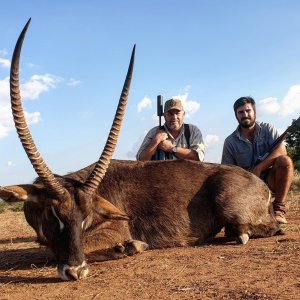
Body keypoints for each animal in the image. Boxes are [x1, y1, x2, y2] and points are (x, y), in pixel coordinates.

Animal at [0, 18, 282, 282]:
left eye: (86, 217)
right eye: (52, 213)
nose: (76, 270)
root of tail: (261, 185)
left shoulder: (115, 230)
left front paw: (128, 246)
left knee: (272, 228)